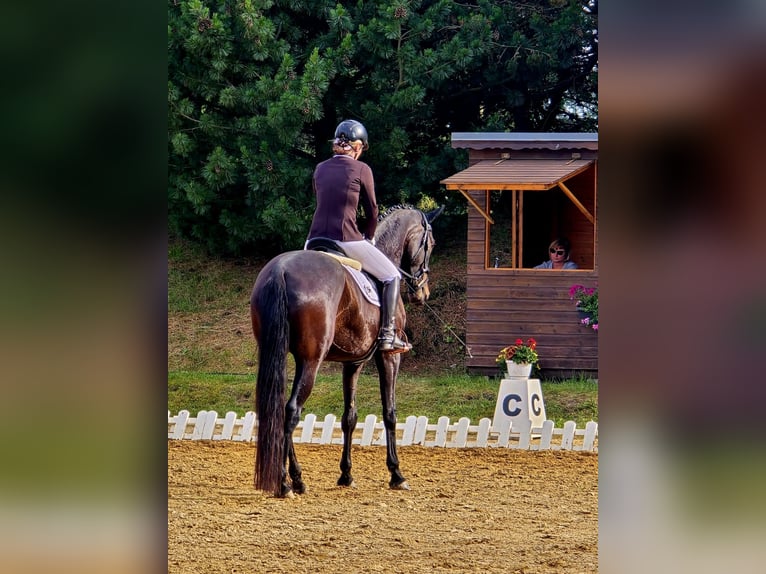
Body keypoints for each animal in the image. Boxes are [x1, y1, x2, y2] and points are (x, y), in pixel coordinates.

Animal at [250, 204, 444, 497]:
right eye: (430, 243)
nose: (423, 293)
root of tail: (280, 271)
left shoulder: (352, 362)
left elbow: (349, 417)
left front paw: (346, 474)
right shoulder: (388, 357)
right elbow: (390, 413)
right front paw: (396, 474)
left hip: (279, 354)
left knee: (279, 409)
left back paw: (296, 479)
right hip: (311, 360)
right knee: (291, 410)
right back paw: (285, 483)